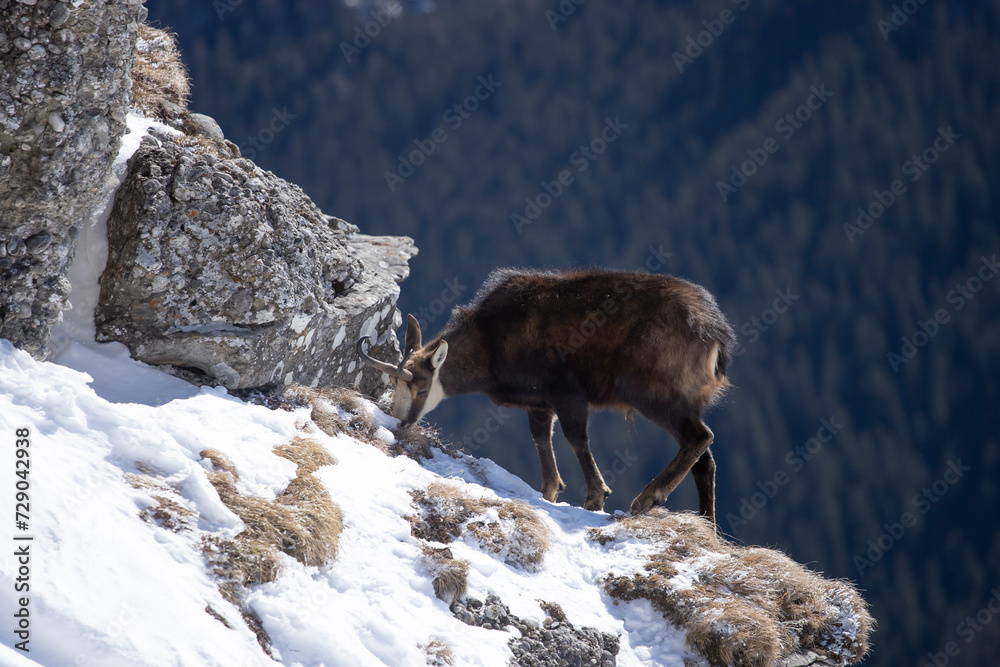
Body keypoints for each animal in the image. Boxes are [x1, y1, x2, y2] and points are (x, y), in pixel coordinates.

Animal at [357, 268, 735, 522]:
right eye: (393, 385)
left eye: (421, 388)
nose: (399, 423)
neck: (490, 339)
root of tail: (715, 334)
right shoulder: (539, 404)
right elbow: (541, 439)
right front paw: (551, 492)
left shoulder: (567, 393)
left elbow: (575, 438)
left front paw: (596, 497)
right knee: (705, 459)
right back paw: (707, 525)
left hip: (655, 394)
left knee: (701, 436)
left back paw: (647, 498)